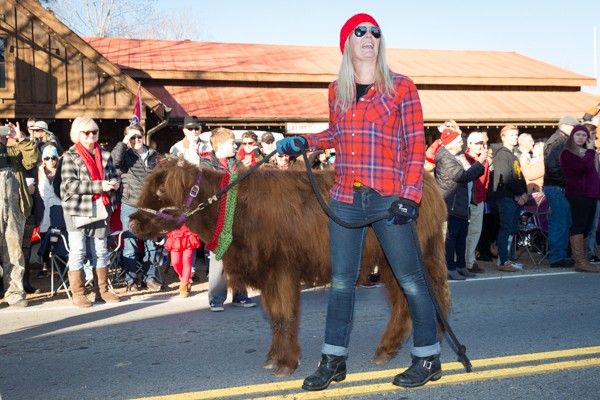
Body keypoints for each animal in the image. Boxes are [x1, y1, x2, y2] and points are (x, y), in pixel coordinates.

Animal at [131, 158, 450, 376]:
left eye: (161, 191)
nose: (133, 222)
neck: (233, 209)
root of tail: (427, 179)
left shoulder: (281, 271)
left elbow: (284, 315)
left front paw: (285, 363)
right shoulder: (268, 275)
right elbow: (275, 317)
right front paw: (273, 358)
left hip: (410, 255)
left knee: (428, 294)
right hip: (392, 260)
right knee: (406, 299)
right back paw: (389, 348)